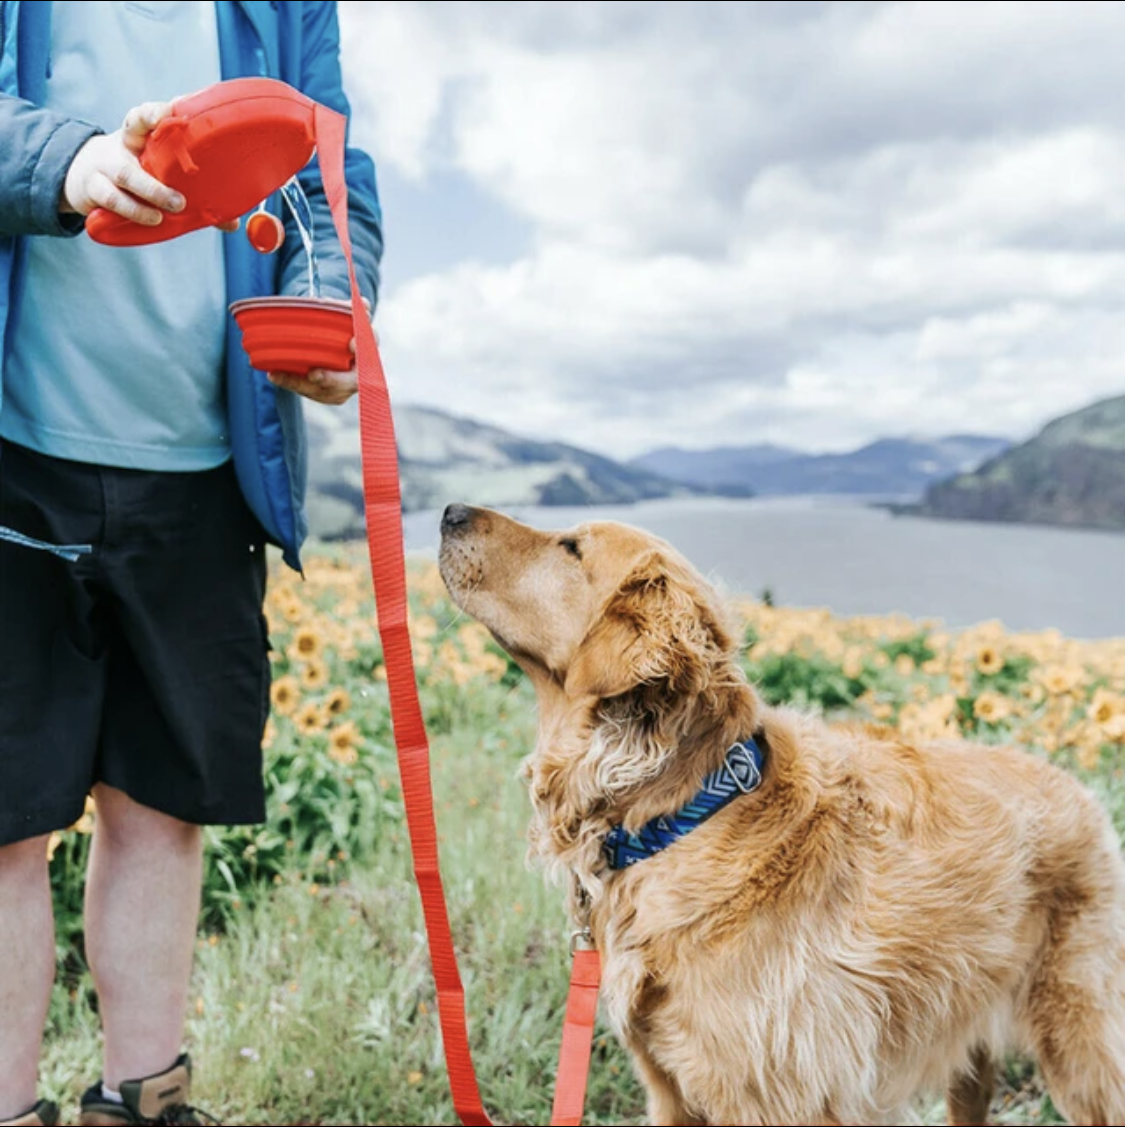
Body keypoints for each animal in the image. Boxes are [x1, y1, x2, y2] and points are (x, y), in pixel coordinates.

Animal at [441, 504, 1125, 1127]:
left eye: (571, 548)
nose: (449, 512)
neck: (682, 814)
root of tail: (1081, 789)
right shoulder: (669, 1089)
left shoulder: (781, 1098)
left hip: (1081, 1044)